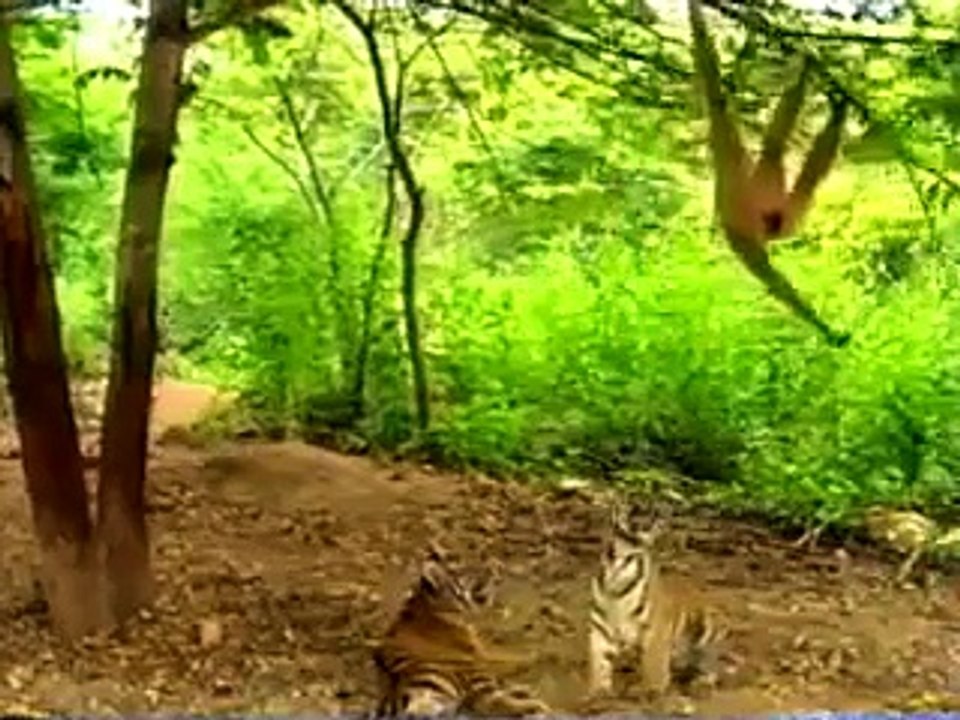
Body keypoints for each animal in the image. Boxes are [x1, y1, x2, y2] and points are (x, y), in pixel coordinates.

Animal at [373, 543, 550, 717]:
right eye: (467, 570)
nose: (498, 566)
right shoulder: (481, 656)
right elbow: (511, 657)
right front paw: (536, 657)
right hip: (473, 676)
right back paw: (537, 705)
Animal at [588, 501, 722, 697]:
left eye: (655, 510)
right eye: (635, 507)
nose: (662, 513)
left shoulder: (656, 628)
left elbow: (653, 664)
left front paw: (651, 691)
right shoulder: (600, 629)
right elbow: (599, 664)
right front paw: (598, 693)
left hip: (709, 626)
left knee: (710, 662)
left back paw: (700, 682)